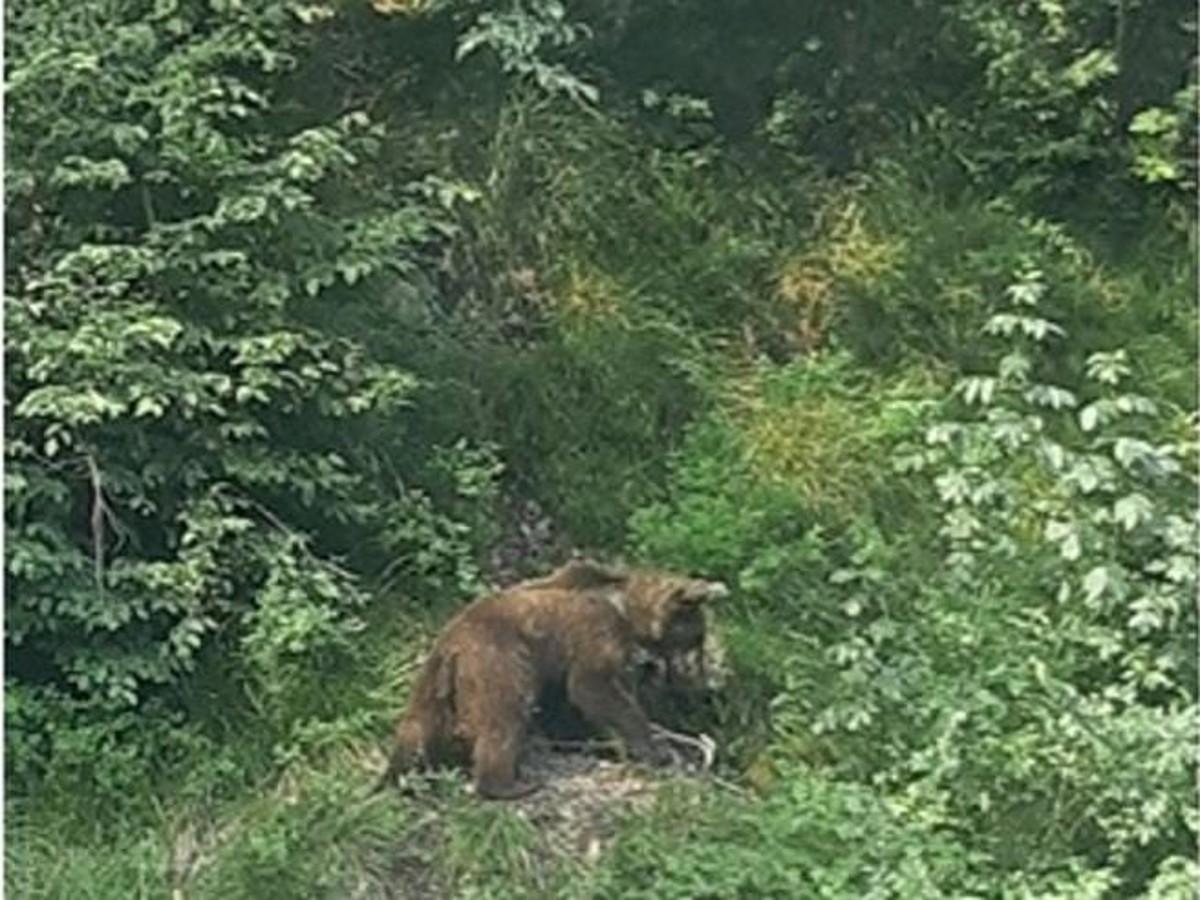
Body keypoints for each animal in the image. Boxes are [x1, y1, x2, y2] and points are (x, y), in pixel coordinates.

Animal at [379, 561, 724, 801]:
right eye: (697, 637)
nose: (700, 675)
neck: (626, 611)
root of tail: (455, 646)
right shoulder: (593, 633)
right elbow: (594, 689)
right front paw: (654, 748)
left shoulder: (558, 661)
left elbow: (563, 702)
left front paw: (578, 738)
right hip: (499, 660)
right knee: (504, 717)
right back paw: (507, 785)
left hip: (432, 676)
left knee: (417, 726)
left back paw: (394, 774)